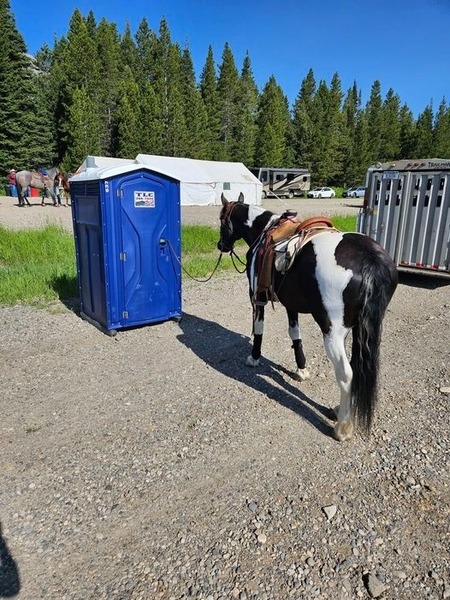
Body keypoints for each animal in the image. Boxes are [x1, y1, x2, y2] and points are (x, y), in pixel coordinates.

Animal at [218, 193, 398, 440]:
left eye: (221, 219)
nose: (220, 245)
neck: (263, 229)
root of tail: (370, 260)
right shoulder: (290, 304)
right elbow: (295, 333)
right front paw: (301, 369)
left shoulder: (257, 296)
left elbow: (259, 329)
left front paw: (254, 358)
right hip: (359, 330)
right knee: (355, 369)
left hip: (332, 332)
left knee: (346, 375)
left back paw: (343, 427)